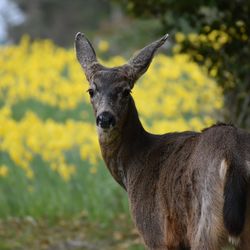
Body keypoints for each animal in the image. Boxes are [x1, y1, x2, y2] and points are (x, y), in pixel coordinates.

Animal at [74, 33, 250, 250]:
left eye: (126, 91)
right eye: (91, 90)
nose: (105, 118)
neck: (133, 165)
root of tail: (232, 156)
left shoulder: (155, 233)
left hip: (205, 226)